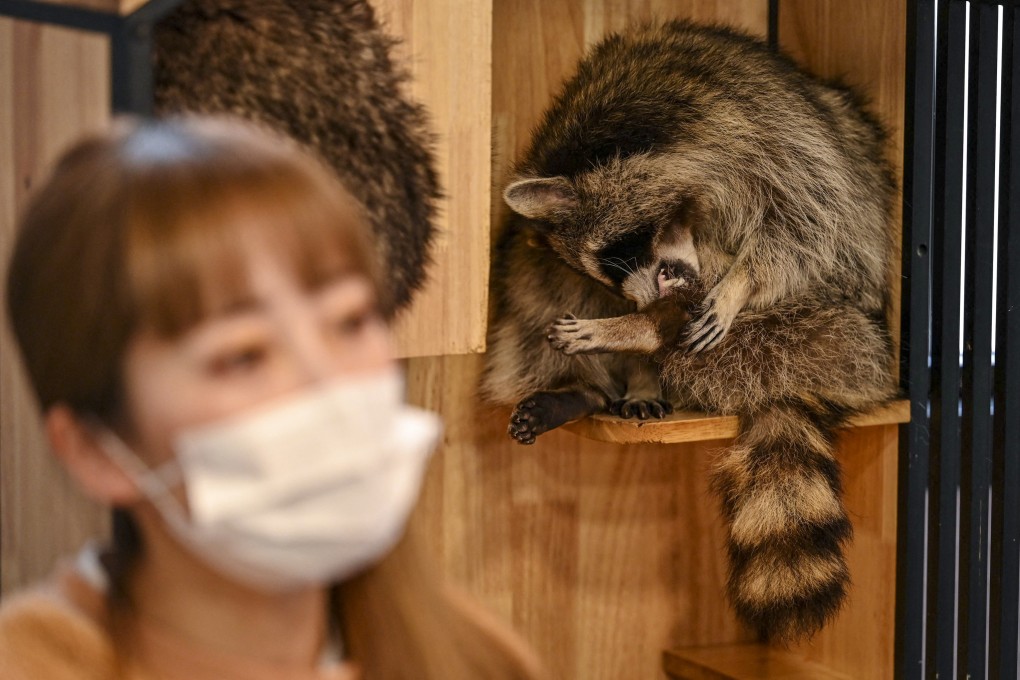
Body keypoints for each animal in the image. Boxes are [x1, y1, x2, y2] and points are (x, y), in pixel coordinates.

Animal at [482, 20, 897, 642]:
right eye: (607, 272)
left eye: (624, 254)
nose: (646, 304)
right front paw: (635, 335)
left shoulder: (774, 146)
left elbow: (805, 231)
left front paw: (737, 285)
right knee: (533, 272)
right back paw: (594, 385)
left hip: (839, 337)